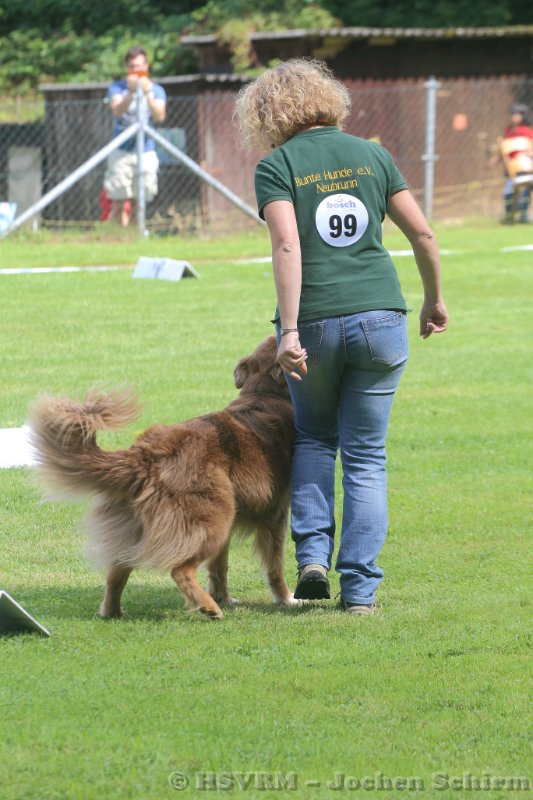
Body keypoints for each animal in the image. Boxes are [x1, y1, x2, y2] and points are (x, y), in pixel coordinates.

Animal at [29, 336, 296, 619]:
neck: (263, 393)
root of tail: (145, 455)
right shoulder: (275, 514)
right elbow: (274, 565)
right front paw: (285, 598)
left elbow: (219, 565)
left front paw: (223, 595)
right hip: (213, 517)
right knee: (179, 569)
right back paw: (208, 608)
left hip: (143, 526)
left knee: (116, 572)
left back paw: (112, 611)